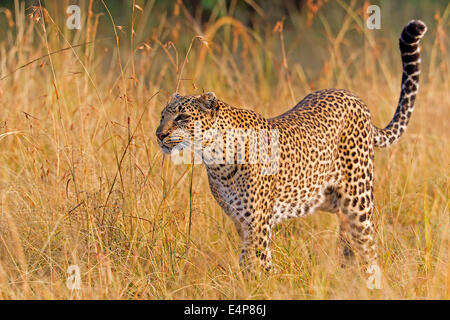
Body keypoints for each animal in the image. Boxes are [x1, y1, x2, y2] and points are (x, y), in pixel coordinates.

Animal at [156, 20, 428, 276]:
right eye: (162, 115)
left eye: (182, 117)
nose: (159, 135)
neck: (217, 161)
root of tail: (356, 99)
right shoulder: (240, 222)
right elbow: (248, 262)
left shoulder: (257, 224)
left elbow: (258, 263)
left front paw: (265, 283)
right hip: (329, 199)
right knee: (348, 242)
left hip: (358, 200)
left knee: (367, 244)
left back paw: (370, 279)